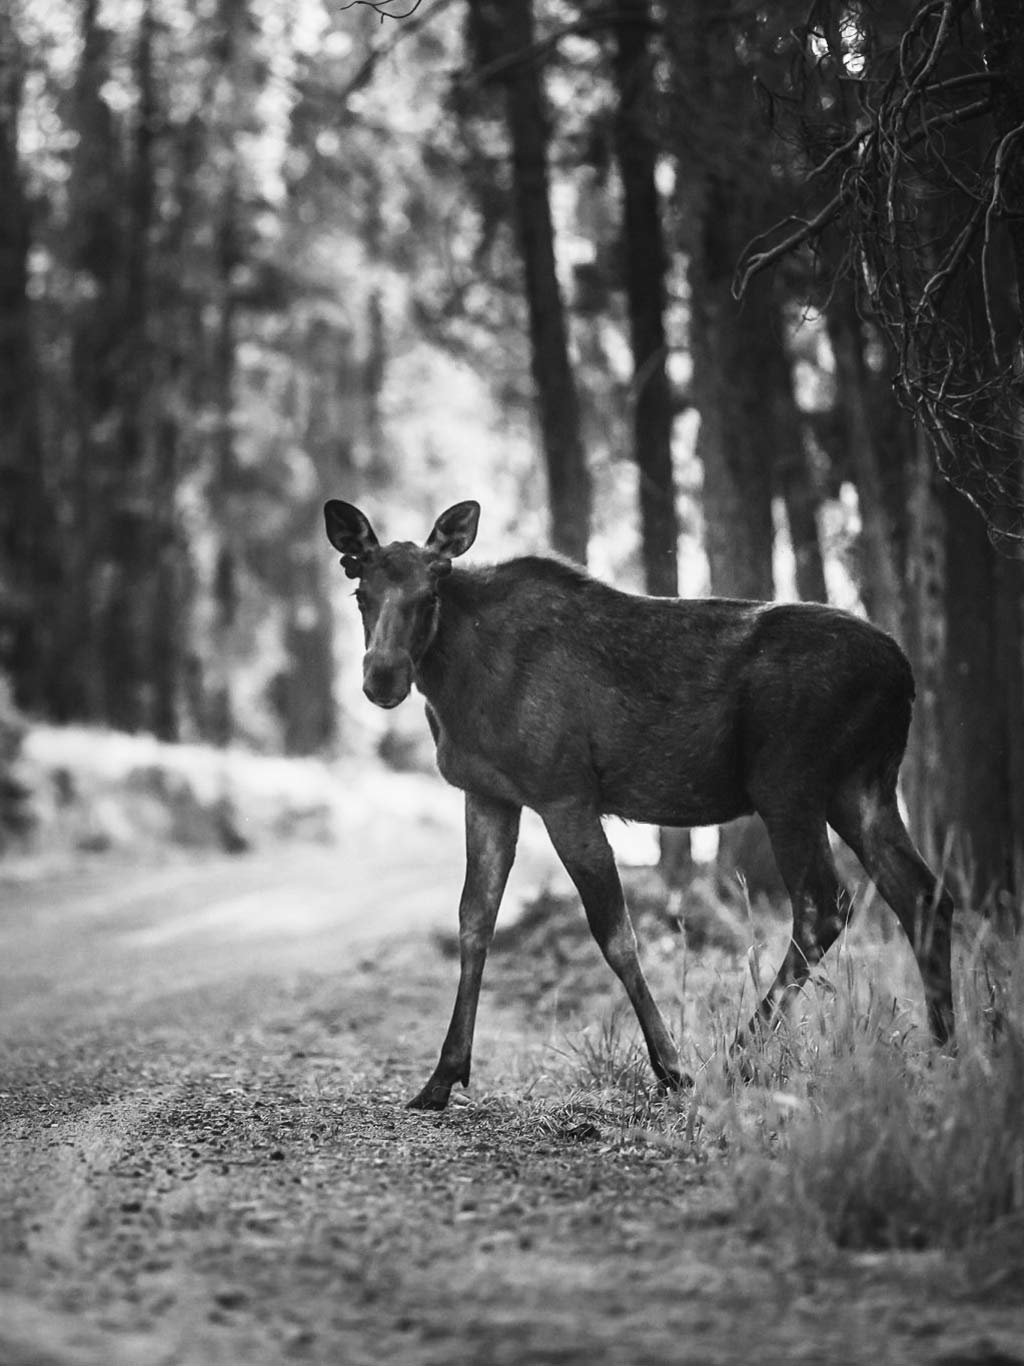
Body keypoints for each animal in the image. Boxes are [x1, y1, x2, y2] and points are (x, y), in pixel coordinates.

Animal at [324, 499, 961, 1109]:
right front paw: (442, 1077)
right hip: (862, 786)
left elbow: (615, 933)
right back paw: (946, 1051)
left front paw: (671, 1067)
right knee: (922, 894)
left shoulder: (565, 792)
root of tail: (904, 676)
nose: (382, 677)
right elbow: (474, 919)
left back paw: (735, 1058)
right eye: (360, 591)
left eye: (431, 592)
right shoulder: (488, 793)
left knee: (823, 905)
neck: (455, 688)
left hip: (790, 783)